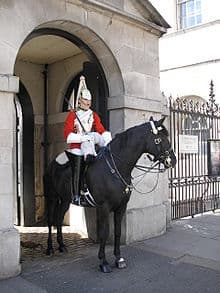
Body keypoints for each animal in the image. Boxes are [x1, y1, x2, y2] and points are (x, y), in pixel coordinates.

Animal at [43, 116, 176, 272]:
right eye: (159, 139)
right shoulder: (104, 207)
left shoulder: (121, 207)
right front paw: (104, 262)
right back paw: (50, 248)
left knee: (58, 219)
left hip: (64, 199)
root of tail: (52, 162)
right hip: (51, 198)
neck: (116, 168)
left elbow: (118, 231)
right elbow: (104, 233)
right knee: (50, 221)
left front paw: (119, 258)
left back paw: (62, 245)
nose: (173, 160)